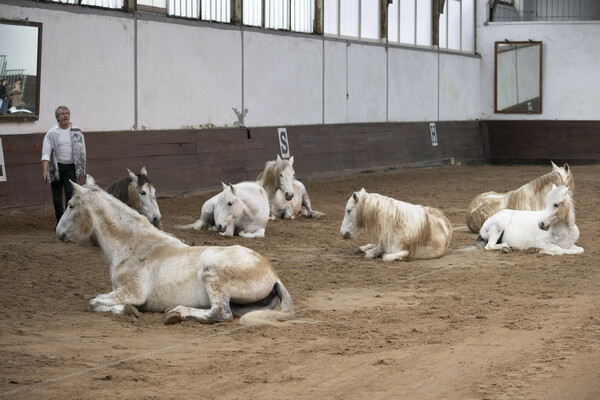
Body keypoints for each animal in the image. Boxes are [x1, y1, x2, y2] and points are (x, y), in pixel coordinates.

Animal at [56, 177, 296, 326]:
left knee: (220, 313)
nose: (59, 233)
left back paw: (176, 313)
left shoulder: (132, 292)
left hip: (212, 276)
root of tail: (273, 275)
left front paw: (128, 310)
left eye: (70, 205)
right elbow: (98, 299)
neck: (134, 246)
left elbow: (93, 302)